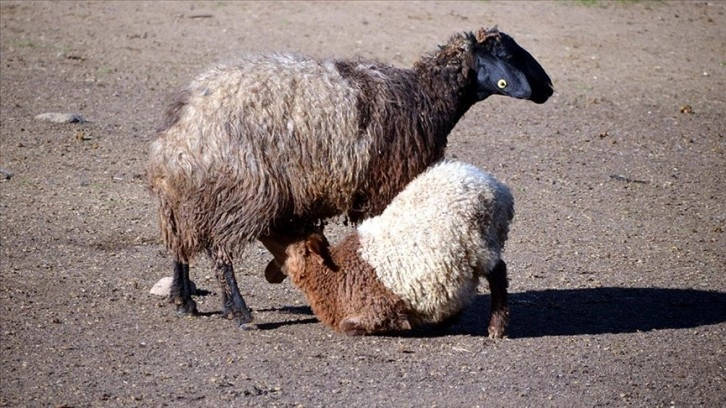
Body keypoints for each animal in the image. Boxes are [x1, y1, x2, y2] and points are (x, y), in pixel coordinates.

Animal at [262, 160, 516, 338]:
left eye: (292, 236)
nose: (266, 228)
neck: (333, 277)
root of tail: (496, 186)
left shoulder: (377, 309)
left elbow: (349, 326)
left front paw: (403, 325)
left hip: (483, 243)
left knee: (498, 273)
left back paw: (496, 328)